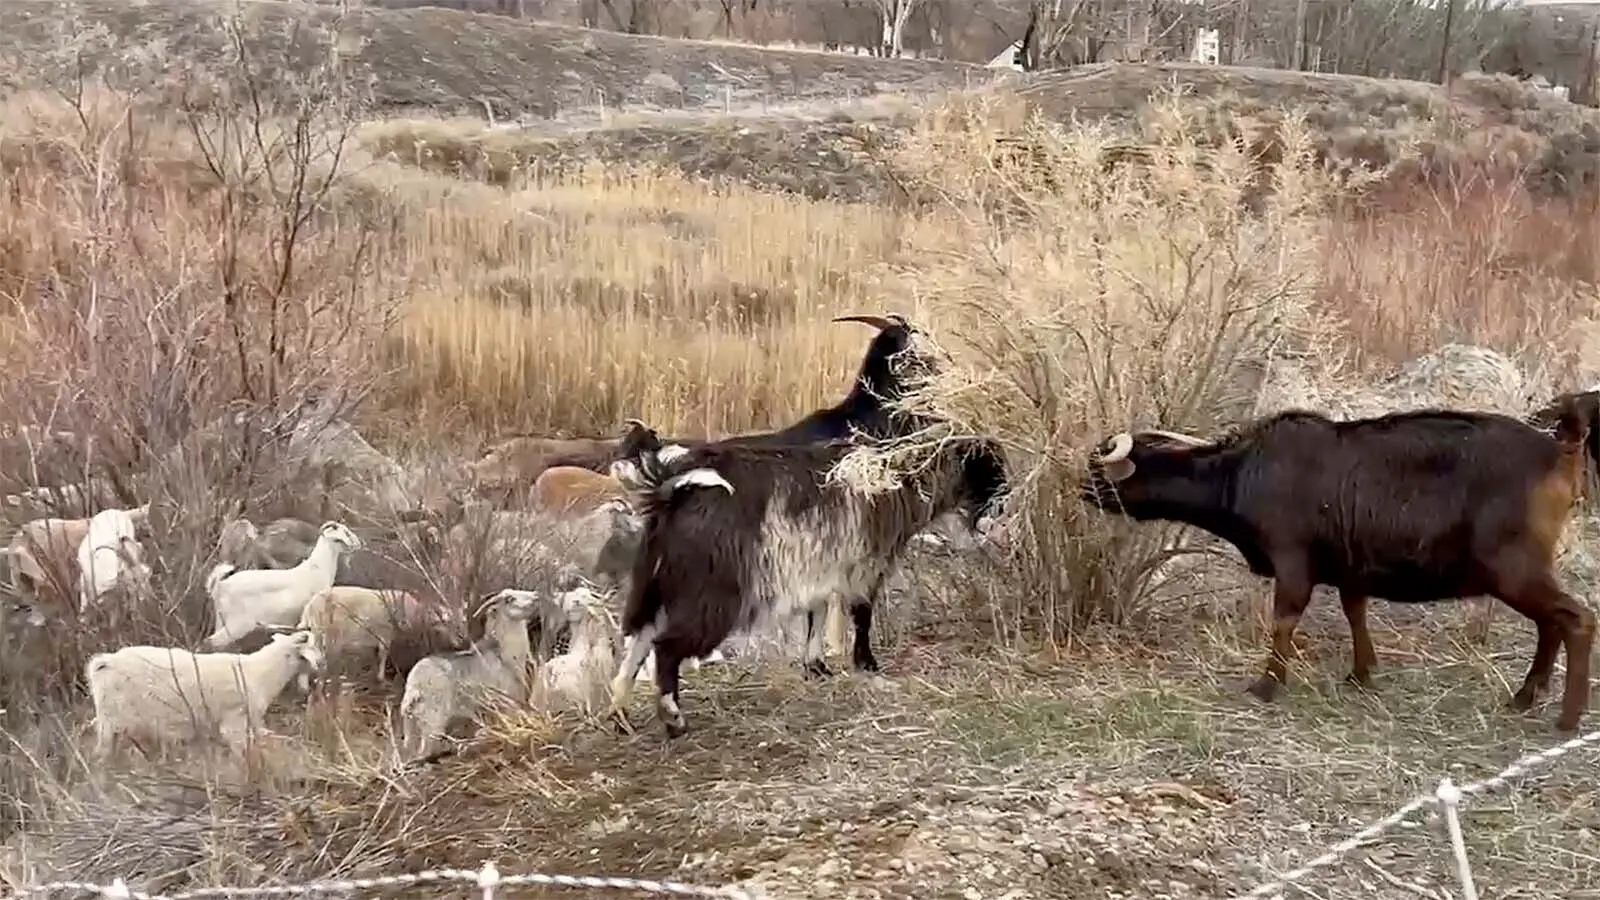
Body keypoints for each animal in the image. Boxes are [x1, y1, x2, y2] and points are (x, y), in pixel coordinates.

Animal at [86, 630, 324, 759]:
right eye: (312, 646)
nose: (321, 663)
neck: (260, 672)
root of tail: (106, 662)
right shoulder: (235, 720)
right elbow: (242, 753)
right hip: (115, 720)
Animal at [203, 521, 363, 649]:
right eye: (342, 535)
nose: (358, 543)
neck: (317, 567)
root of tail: (220, 585)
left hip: (221, 620)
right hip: (237, 624)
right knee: (210, 642)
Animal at [398, 588, 541, 763]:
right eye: (509, 599)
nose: (536, 596)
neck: (502, 654)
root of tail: (414, 687)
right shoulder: (505, 700)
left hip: (411, 723)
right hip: (433, 718)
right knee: (425, 752)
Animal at [607, 436, 1007, 737]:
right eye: (989, 467)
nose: (1002, 502)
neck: (899, 480)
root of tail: (672, 493)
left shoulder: (820, 568)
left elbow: (817, 613)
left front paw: (816, 667)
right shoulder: (864, 565)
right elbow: (861, 614)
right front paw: (866, 663)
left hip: (658, 581)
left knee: (640, 638)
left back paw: (620, 712)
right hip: (711, 592)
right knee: (665, 646)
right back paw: (673, 718)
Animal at [1080, 405, 1597, 732]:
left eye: (1104, 467)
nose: (1079, 487)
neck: (1244, 472)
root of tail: (1561, 451)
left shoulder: (1292, 561)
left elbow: (1285, 619)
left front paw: (1267, 685)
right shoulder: (1351, 569)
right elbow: (1355, 612)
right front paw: (1360, 674)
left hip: (1514, 570)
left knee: (1576, 619)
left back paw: (1566, 718)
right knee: (1551, 623)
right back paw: (1525, 696)